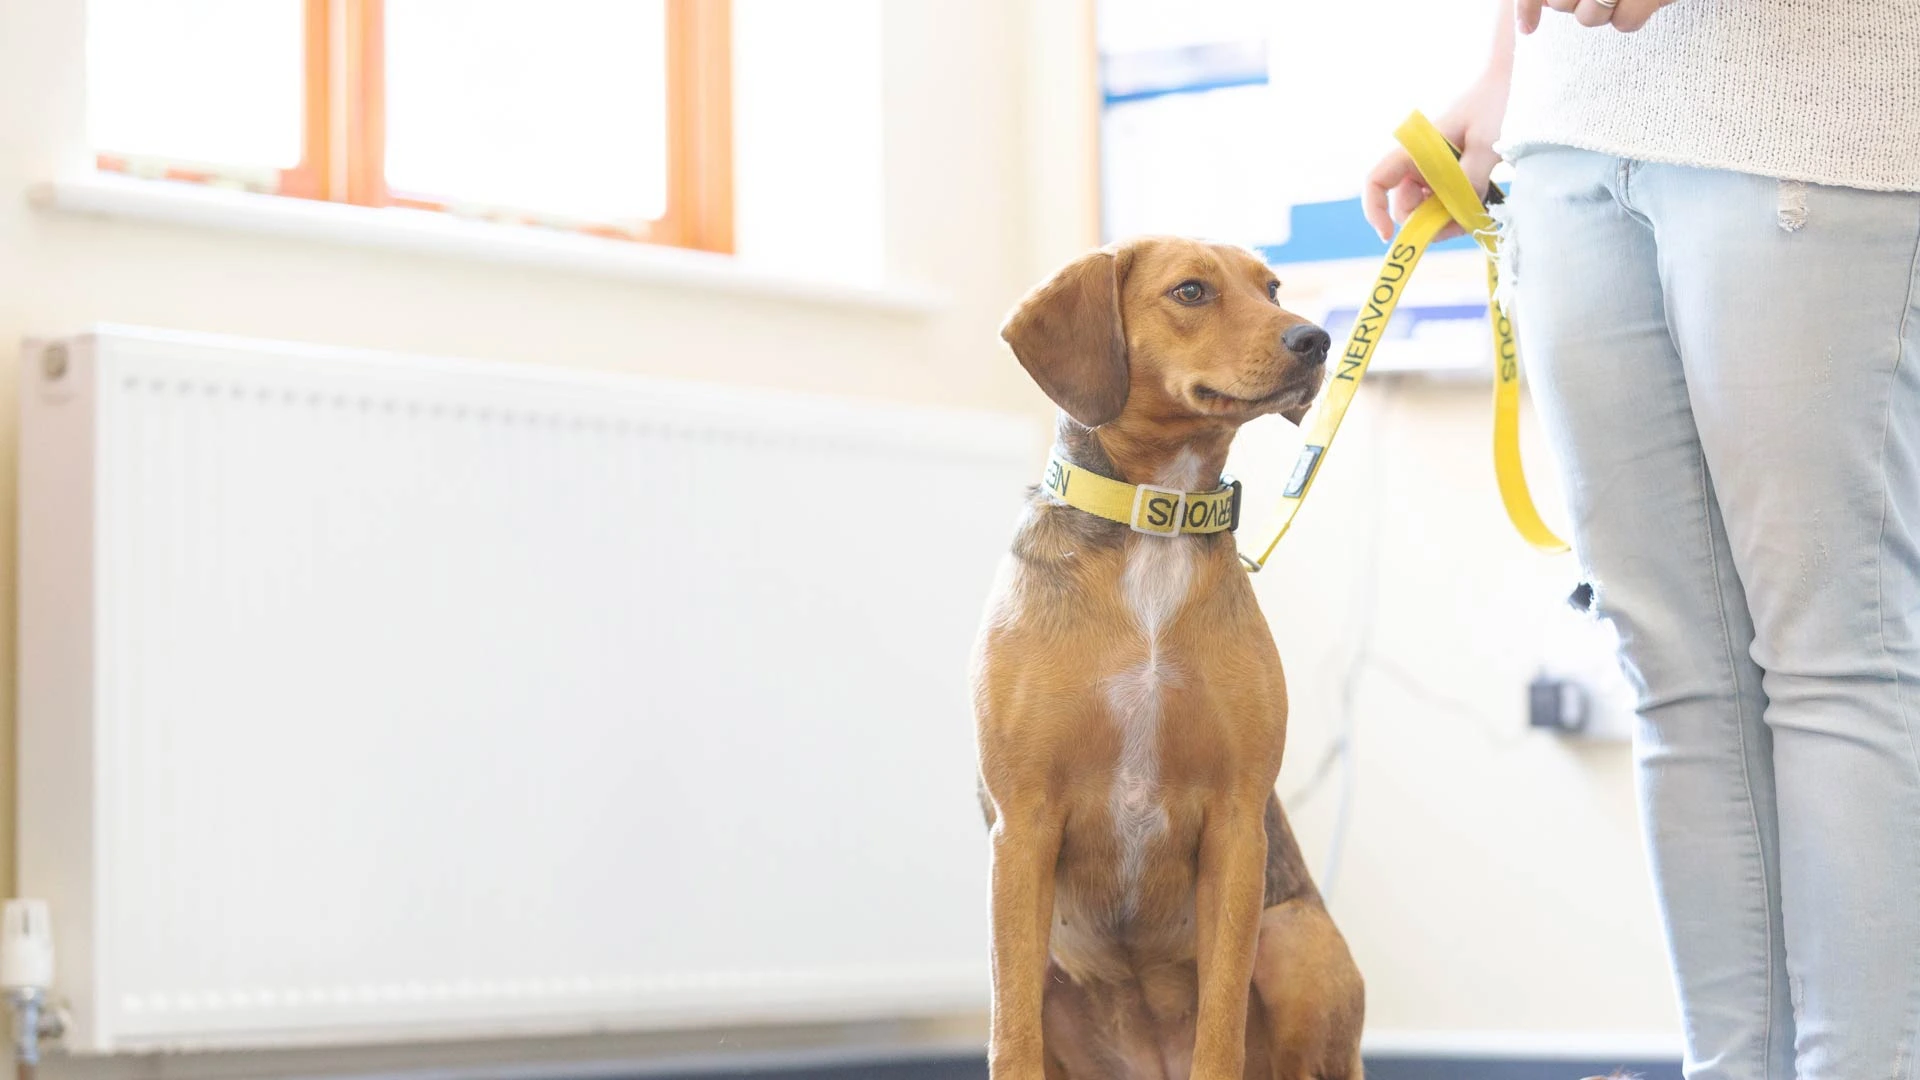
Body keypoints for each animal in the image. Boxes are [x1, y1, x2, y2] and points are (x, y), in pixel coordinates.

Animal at [975, 237, 1367, 1076]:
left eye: (1272, 287)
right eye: (1191, 291)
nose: (1317, 339)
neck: (1156, 521)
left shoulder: (1236, 827)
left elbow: (1220, 1025)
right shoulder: (1022, 828)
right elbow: (1010, 1035)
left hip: (1299, 942)